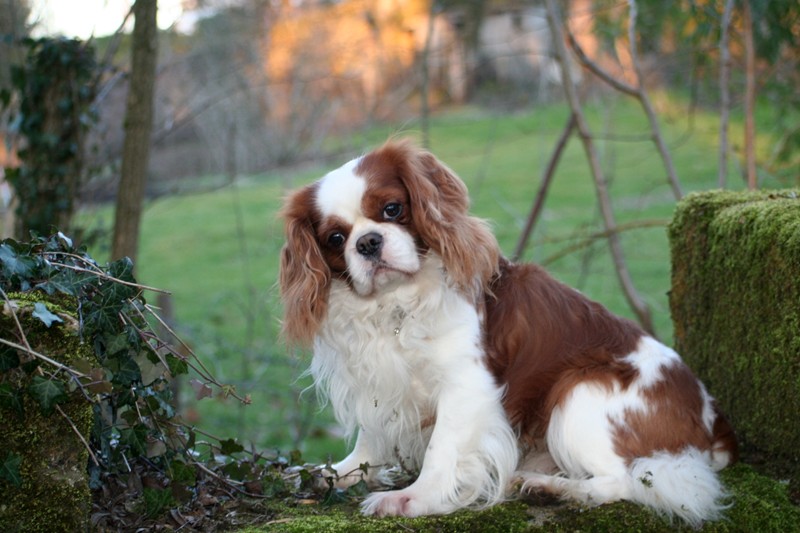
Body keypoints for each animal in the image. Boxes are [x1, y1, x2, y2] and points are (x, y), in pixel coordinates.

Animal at [276, 138, 736, 524]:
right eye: (336, 238)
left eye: (392, 209)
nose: (368, 242)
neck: (394, 307)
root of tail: (713, 424)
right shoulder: (379, 382)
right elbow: (369, 441)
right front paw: (333, 473)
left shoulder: (466, 385)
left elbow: (442, 448)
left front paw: (414, 498)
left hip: (577, 393)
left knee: (628, 480)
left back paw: (554, 488)